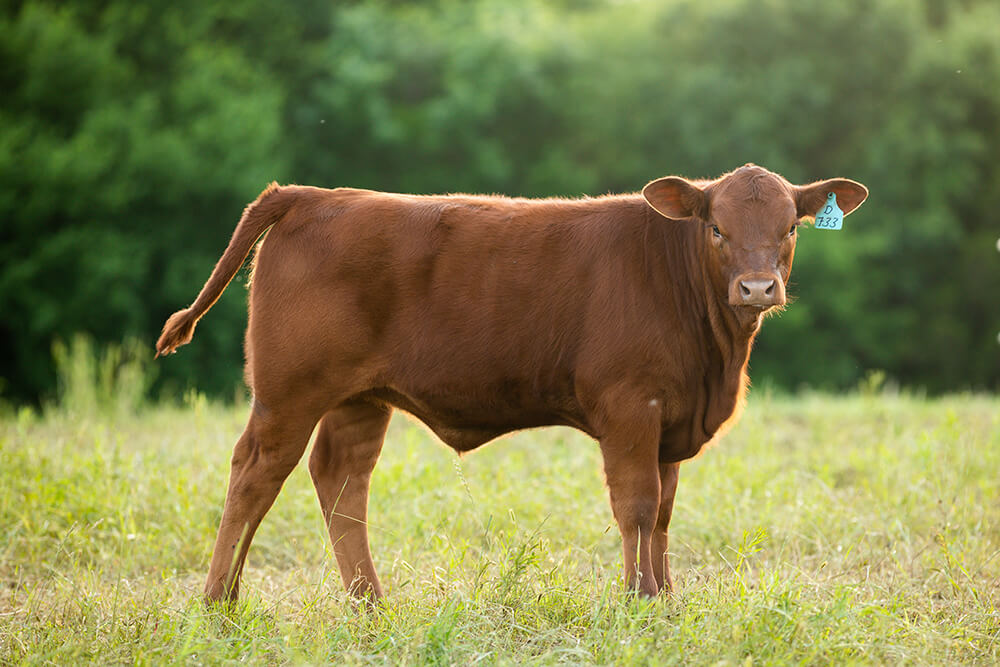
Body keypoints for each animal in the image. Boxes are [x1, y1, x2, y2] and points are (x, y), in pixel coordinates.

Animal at [156, 164, 868, 604]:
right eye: (717, 228)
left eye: (790, 228)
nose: (757, 288)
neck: (712, 360)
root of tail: (313, 193)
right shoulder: (630, 408)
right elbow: (637, 508)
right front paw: (637, 604)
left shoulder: (670, 419)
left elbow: (664, 515)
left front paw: (664, 599)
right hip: (287, 391)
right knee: (255, 474)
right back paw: (220, 604)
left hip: (357, 399)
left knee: (341, 482)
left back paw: (371, 606)